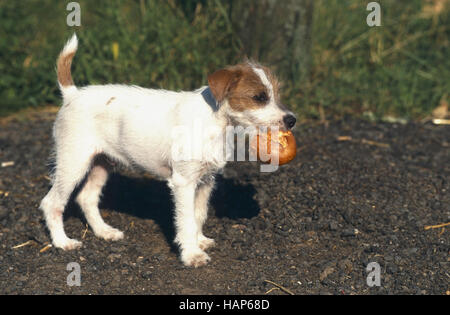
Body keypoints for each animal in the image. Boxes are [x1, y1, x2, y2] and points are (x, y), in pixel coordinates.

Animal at [40, 34, 298, 266]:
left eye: (276, 94)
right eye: (259, 97)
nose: (292, 120)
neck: (215, 122)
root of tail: (72, 94)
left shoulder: (205, 181)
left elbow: (198, 215)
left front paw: (199, 241)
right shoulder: (184, 182)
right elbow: (186, 219)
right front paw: (192, 254)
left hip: (101, 163)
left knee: (87, 198)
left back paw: (105, 232)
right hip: (73, 163)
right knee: (52, 203)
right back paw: (63, 242)